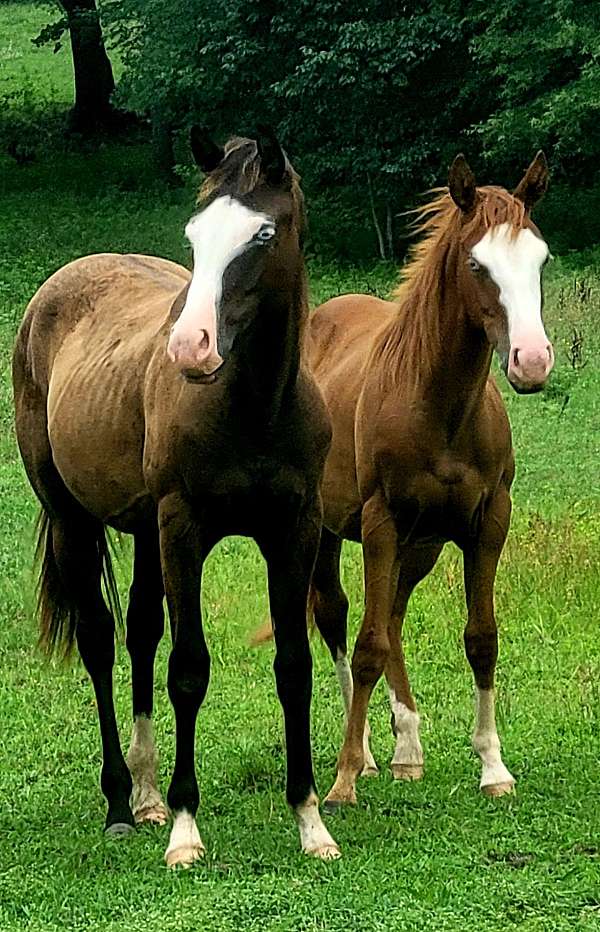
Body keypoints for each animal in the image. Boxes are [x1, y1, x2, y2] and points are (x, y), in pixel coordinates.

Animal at [11, 129, 340, 868]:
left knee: (139, 634)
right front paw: (188, 830)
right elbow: (188, 670)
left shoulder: (294, 530)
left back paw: (146, 794)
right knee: (100, 641)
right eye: (196, 234)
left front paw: (311, 822)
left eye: (263, 233)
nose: (189, 347)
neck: (254, 408)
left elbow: (294, 666)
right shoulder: (184, 529)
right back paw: (118, 805)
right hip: (73, 520)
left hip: (142, 531)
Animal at [308, 153, 552, 808]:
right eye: (476, 264)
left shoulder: (488, 523)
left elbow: (481, 638)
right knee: (339, 617)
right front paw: (343, 779)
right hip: (332, 532)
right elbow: (367, 646)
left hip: (421, 546)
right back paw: (368, 754)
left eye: (541, 258)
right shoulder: (380, 523)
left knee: (392, 617)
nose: (532, 360)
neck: (438, 405)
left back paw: (407, 748)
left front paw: (493, 767)